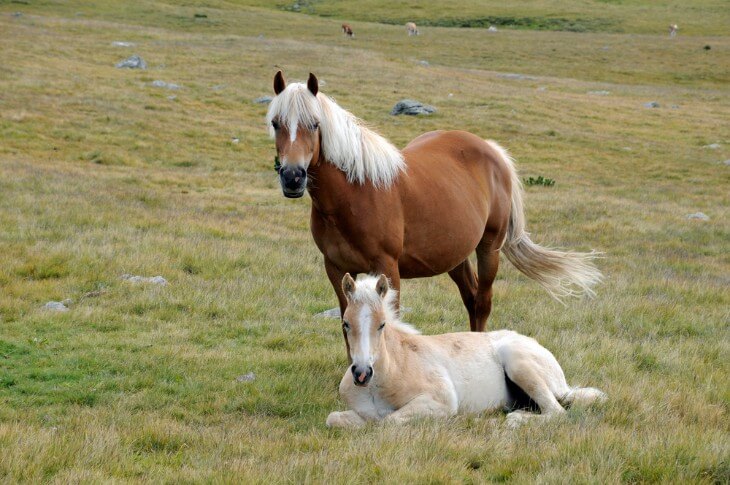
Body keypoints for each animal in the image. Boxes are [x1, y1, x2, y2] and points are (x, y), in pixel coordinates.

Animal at [264, 73, 600, 340]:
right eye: (275, 123)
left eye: (314, 124)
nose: (293, 177)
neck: (357, 193)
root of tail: (493, 151)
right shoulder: (335, 269)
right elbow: (348, 324)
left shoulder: (387, 268)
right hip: (456, 255)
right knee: (471, 299)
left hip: (489, 248)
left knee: (483, 302)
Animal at [326, 272, 604, 428]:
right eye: (345, 323)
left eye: (382, 324)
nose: (362, 373)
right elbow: (336, 419)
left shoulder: (442, 399)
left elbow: (389, 421)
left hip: (518, 362)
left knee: (557, 412)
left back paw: (513, 420)